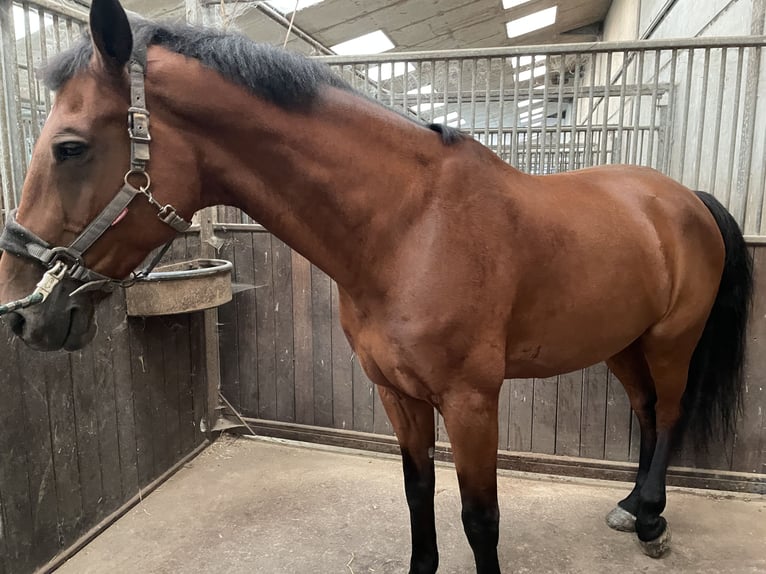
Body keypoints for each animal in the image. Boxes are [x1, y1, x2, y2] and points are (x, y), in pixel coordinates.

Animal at [0, 1, 756, 572]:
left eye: (69, 147)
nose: (19, 313)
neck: (411, 227)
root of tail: (682, 198)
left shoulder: (472, 401)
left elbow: (480, 518)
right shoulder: (397, 393)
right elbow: (417, 494)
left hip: (671, 341)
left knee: (671, 414)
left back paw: (653, 521)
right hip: (624, 343)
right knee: (648, 414)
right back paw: (633, 508)